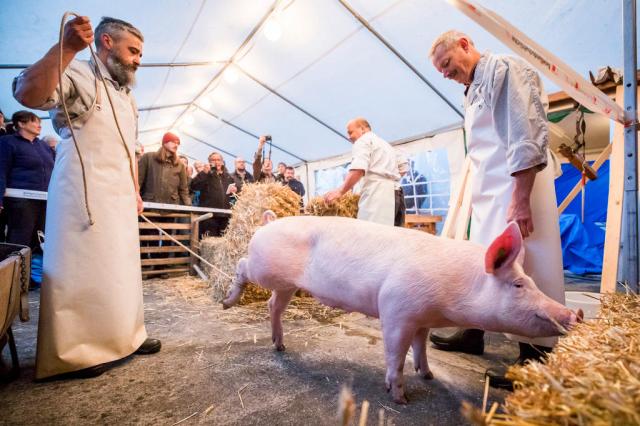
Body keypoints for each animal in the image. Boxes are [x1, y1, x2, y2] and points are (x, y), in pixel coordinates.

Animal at [222, 215, 584, 404]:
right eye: (519, 285)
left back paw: (280, 346)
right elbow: (396, 354)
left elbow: (420, 346)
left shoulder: (423, 319)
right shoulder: (397, 310)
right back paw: (226, 302)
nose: (576, 315)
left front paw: (428, 374)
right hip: (264, 268)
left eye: (531, 282)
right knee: (241, 265)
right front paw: (400, 397)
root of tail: (268, 221)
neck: (451, 294)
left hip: (285, 284)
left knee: (273, 304)